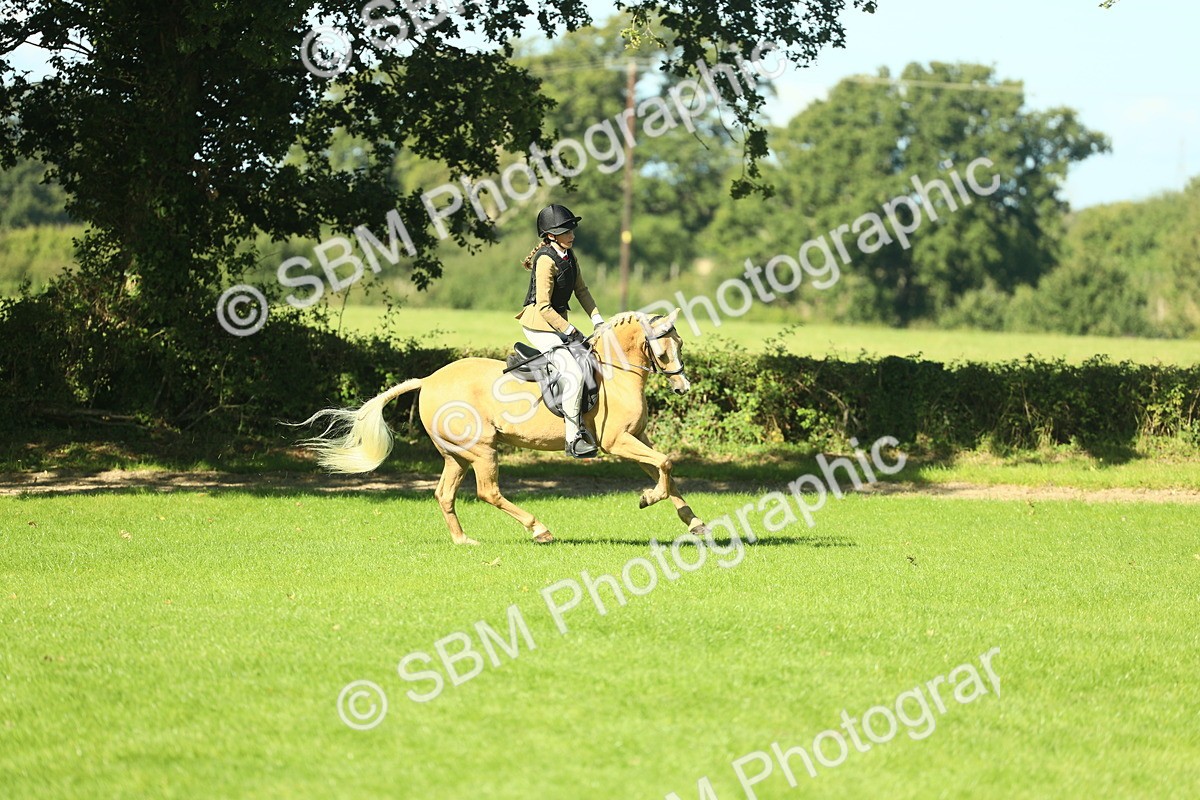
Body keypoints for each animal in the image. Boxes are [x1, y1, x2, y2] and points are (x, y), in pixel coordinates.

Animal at [298, 308, 712, 545]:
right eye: (663, 351)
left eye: (680, 345)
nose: (682, 387)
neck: (615, 371)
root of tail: (428, 380)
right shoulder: (619, 441)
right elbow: (665, 466)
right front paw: (648, 498)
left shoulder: (637, 438)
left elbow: (665, 469)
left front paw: (694, 523)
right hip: (482, 449)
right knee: (488, 492)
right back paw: (539, 530)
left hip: (457, 455)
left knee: (444, 494)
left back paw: (464, 541)